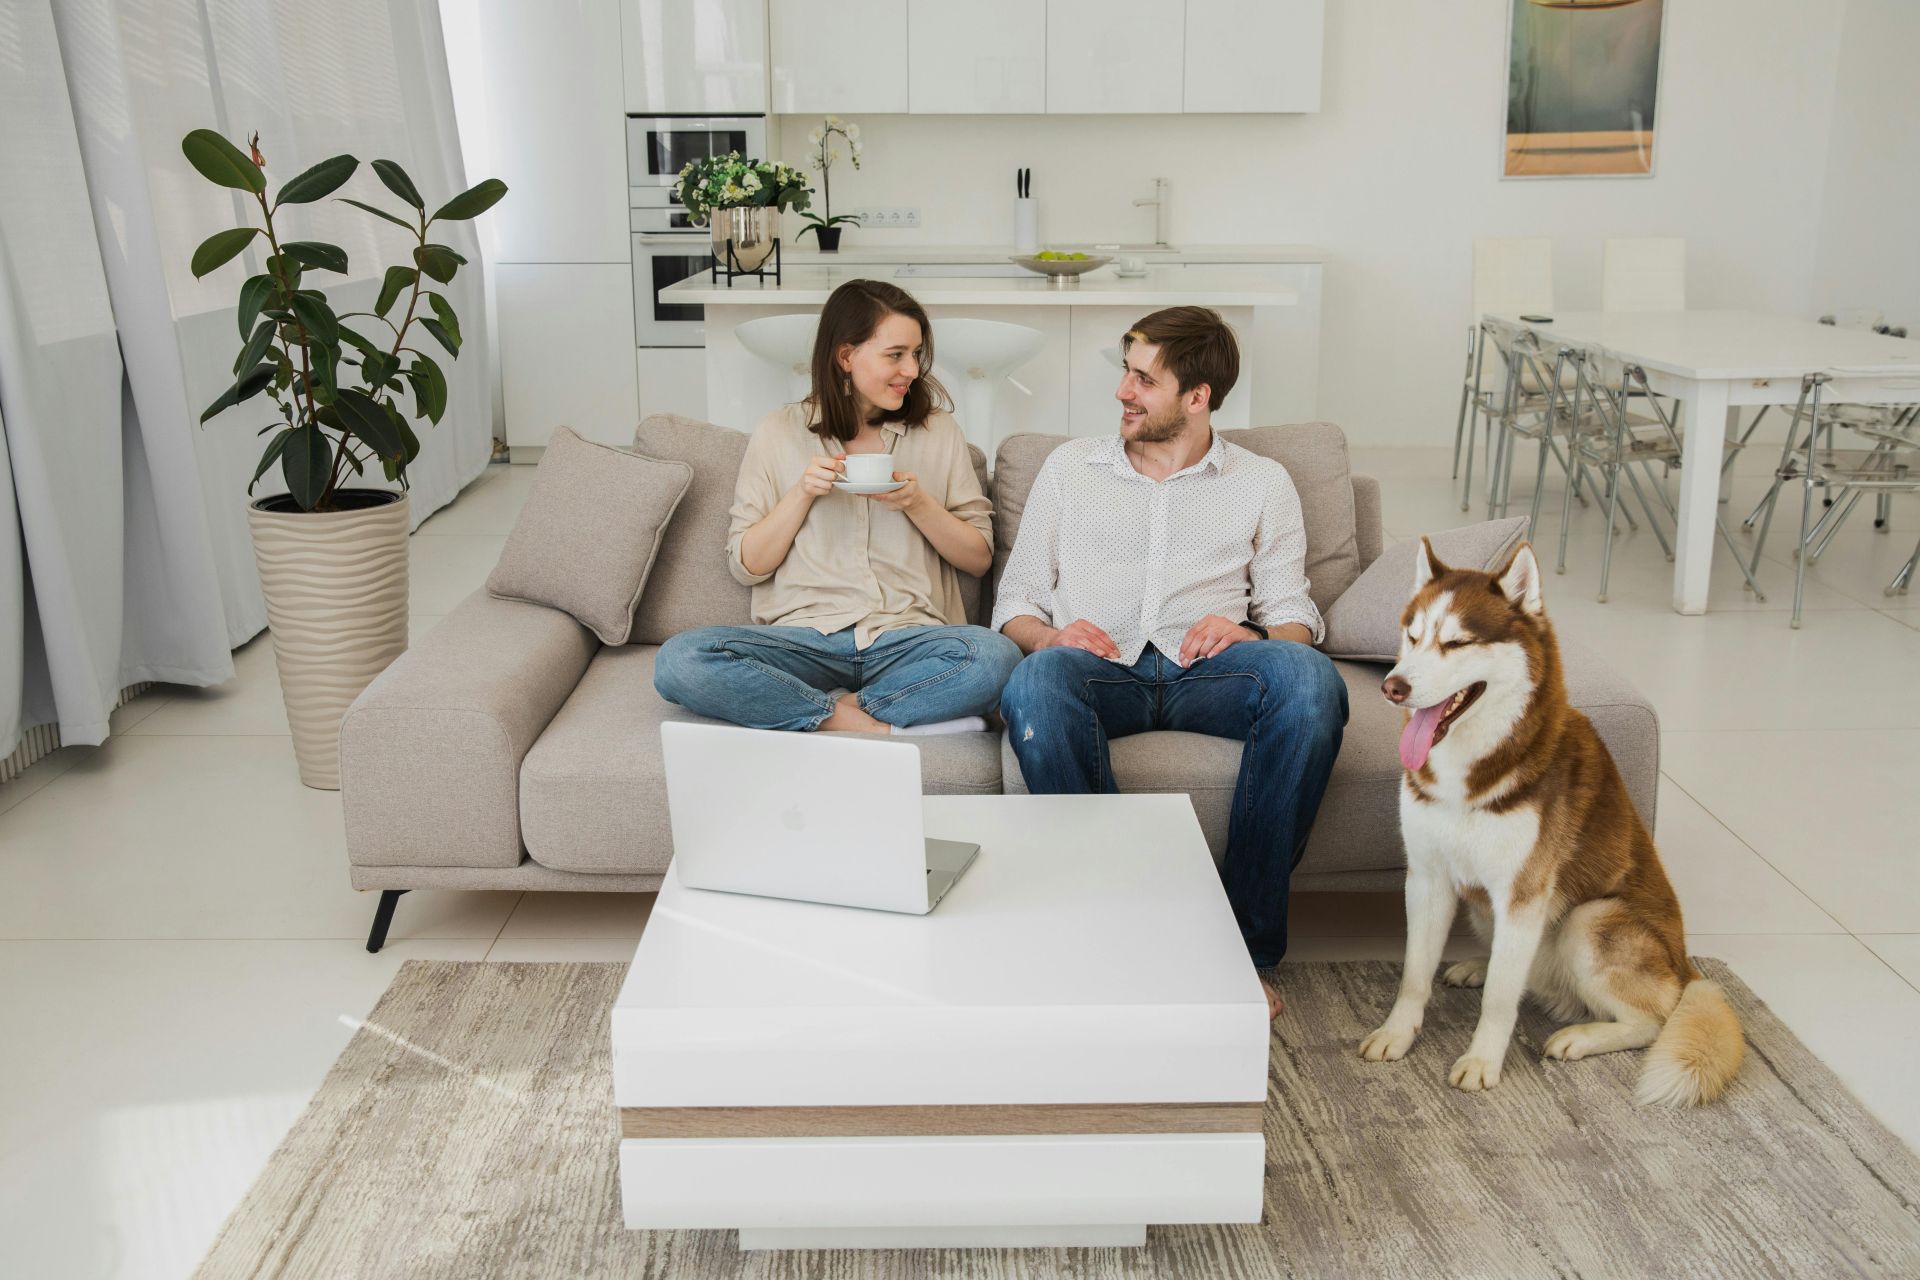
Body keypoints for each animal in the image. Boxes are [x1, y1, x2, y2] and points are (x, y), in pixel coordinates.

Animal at [1359, 537, 1751, 1105]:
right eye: (1412, 636)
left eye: (1456, 642)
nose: (1393, 686)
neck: (1469, 772)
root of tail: (1686, 966)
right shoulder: (1426, 878)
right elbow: (1414, 972)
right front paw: (1397, 1033)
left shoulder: (1524, 895)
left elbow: (1501, 999)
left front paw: (1482, 1060)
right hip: (1490, 913)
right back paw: (1478, 966)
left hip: (1591, 920)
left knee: (1653, 1020)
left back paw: (1580, 1036)